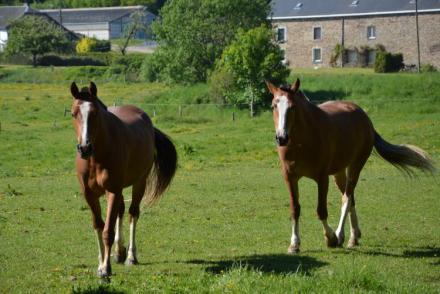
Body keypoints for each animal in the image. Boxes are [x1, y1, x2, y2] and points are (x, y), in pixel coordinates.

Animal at [70, 82, 177, 278]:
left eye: (95, 113)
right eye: (73, 113)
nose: (84, 148)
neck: (96, 158)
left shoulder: (113, 190)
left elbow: (108, 231)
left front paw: (105, 269)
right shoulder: (89, 194)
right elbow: (98, 225)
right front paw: (101, 262)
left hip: (139, 183)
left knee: (132, 213)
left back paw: (130, 256)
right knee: (120, 211)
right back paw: (118, 253)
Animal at [266, 79, 434, 254]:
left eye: (292, 107)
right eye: (273, 106)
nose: (281, 138)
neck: (301, 142)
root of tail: (364, 117)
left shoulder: (322, 178)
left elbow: (321, 210)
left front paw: (330, 238)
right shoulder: (290, 177)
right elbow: (295, 209)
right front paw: (294, 244)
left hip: (355, 166)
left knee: (346, 198)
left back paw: (341, 236)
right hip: (339, 172)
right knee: (351, 198)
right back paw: (354, 237)